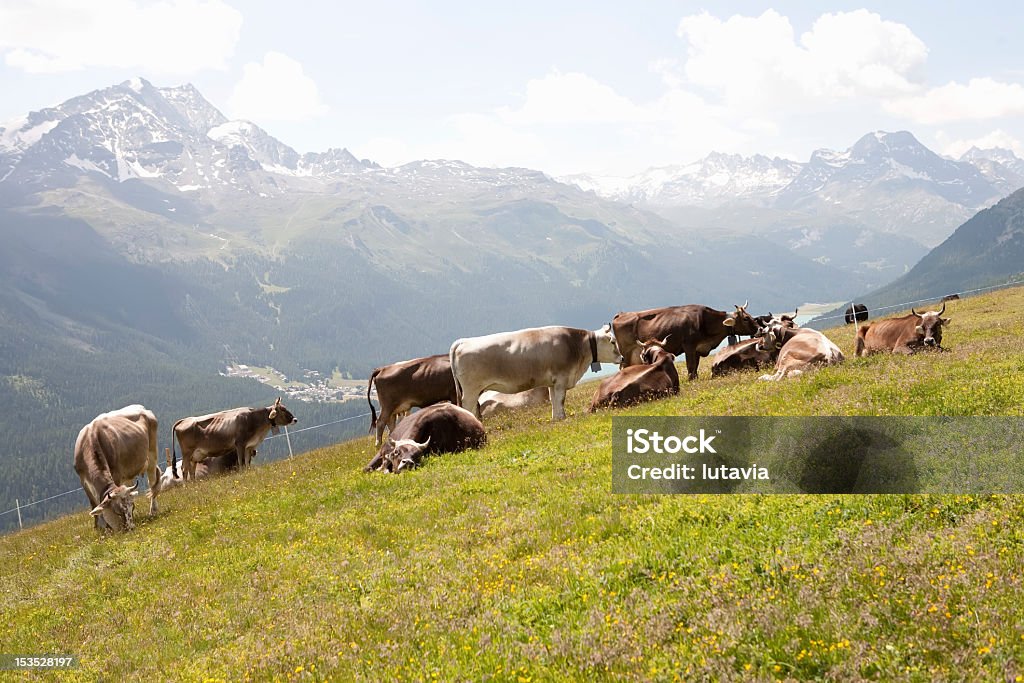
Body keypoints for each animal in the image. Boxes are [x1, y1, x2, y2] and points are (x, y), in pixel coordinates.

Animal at [74, 403, 162, 532]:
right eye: (118, 512)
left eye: (132, 507)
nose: (131, 528)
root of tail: (143, 408)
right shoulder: (83, 480)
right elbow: (93, 503)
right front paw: (98, 527)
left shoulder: (116, 473)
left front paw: (107, 527)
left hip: (152, 454)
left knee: (152, 483)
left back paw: (153, 511)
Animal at [450, 323, 622, 419]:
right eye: (613, 342)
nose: (622, 358)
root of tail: (463, 341)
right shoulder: (561, 378)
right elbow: (560, 399)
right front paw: (562, 417)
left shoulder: (552, 382)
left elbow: (554, 400)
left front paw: (557, 418)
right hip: (471, 390)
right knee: (468, 407)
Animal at [606, 303, 761, 378]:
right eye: (745, 318)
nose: (760, 329)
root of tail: (621, 314)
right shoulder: (689, 346)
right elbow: (690, 365)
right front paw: (691, 379)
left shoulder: (698, 348)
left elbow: (696, 366)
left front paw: (695, 378)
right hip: (626, 354)